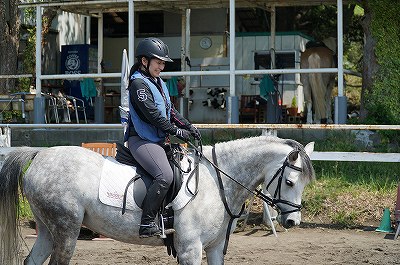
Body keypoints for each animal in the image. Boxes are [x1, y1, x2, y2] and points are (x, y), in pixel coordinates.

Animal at [1, 135, 316, 262]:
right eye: (290, 182)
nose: (293, 221)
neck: (218, 181)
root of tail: (40, 154)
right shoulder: (190, 249)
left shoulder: (215, 248)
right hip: (66, 230)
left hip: (48, 230)